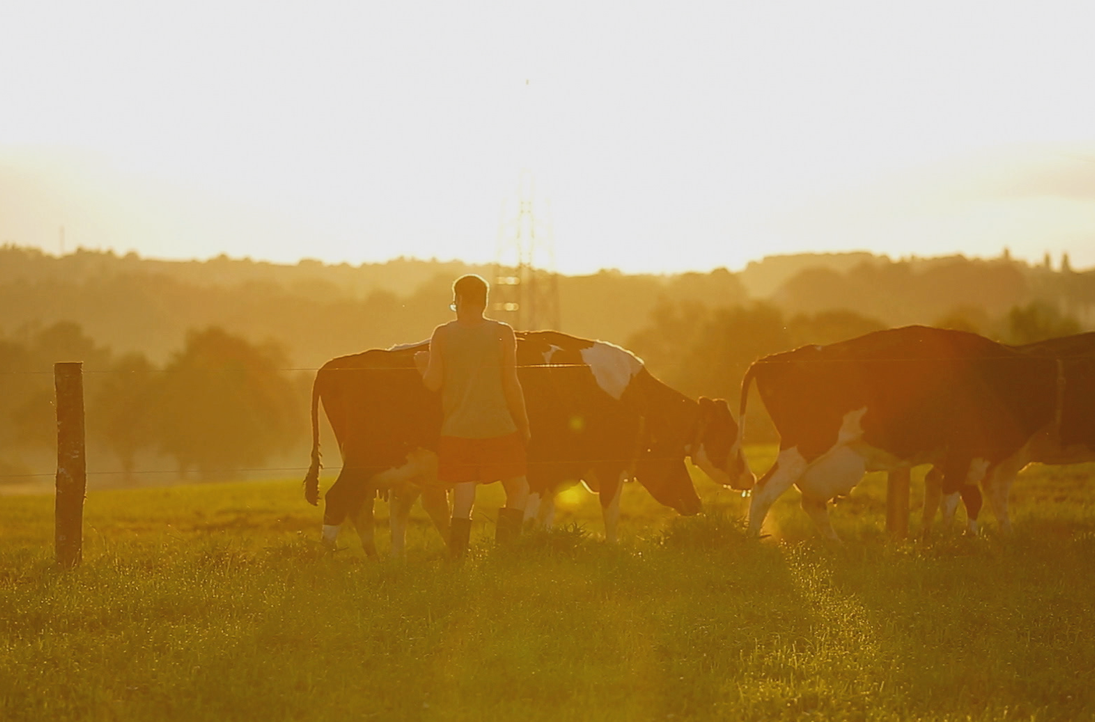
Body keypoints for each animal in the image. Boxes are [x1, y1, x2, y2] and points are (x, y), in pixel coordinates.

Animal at [304, 330, 740, 556]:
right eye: (728, 437)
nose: (695, 502)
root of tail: (341, 363)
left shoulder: (551, 471)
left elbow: (540, 514)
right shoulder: (603, 466)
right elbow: (609, 512)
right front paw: (613, 550)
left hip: (393, 467)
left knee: (371, 509)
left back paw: (384, 560)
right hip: (367, 461)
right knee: (341, 501)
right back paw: (332, 559)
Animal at [727, 324, 1059, 539]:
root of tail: (772, 359)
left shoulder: (959, 457)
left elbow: (963, 496)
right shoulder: (963, 450)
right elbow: (955, 498)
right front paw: (951, 541)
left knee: (811, 503)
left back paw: (835, 544)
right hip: (805, 446)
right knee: (764, 490)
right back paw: (754, 539)